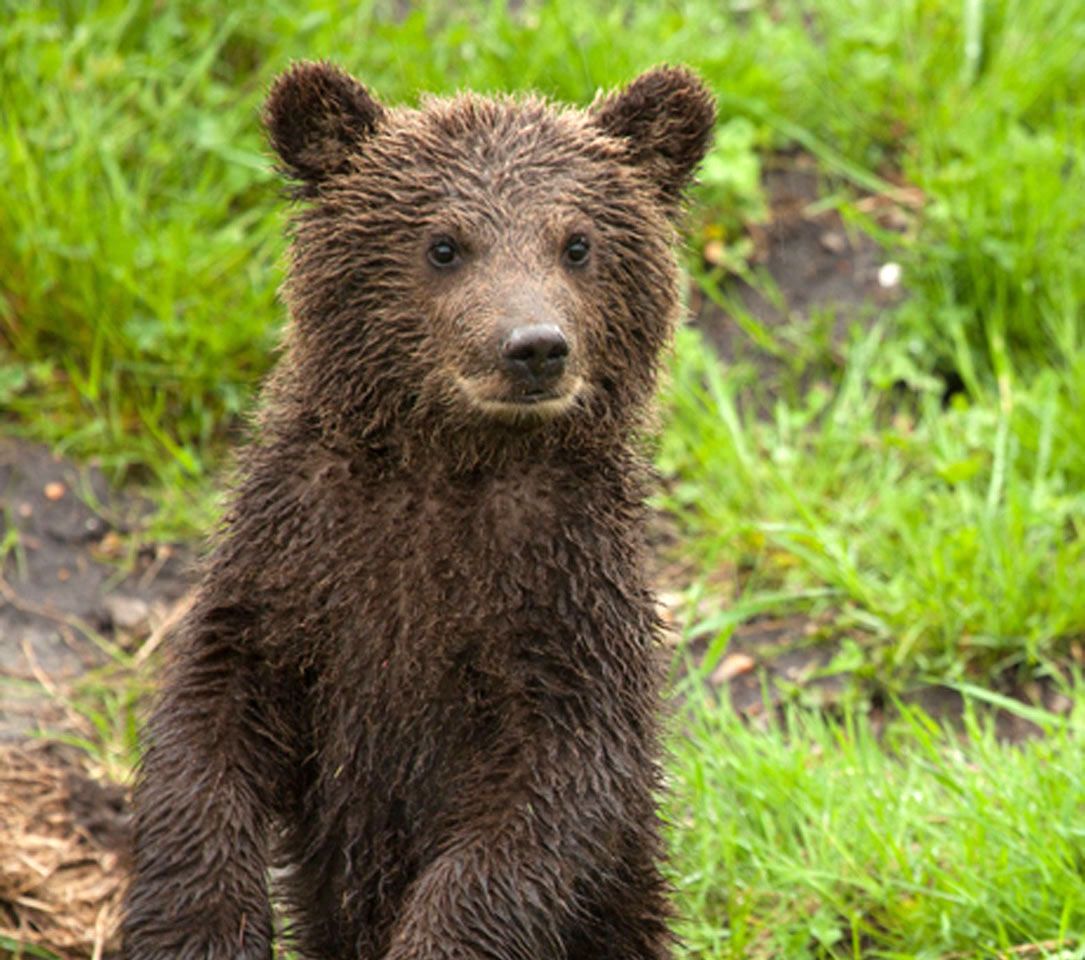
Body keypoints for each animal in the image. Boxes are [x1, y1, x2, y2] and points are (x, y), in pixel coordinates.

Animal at [122, 61, 715, 960]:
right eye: (443, 244)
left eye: (577, 243)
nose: (534, 347)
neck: (449, 466)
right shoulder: (299, 557)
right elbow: (212, 718)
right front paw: (201, 922)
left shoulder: (558, 593)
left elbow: (549, 799)